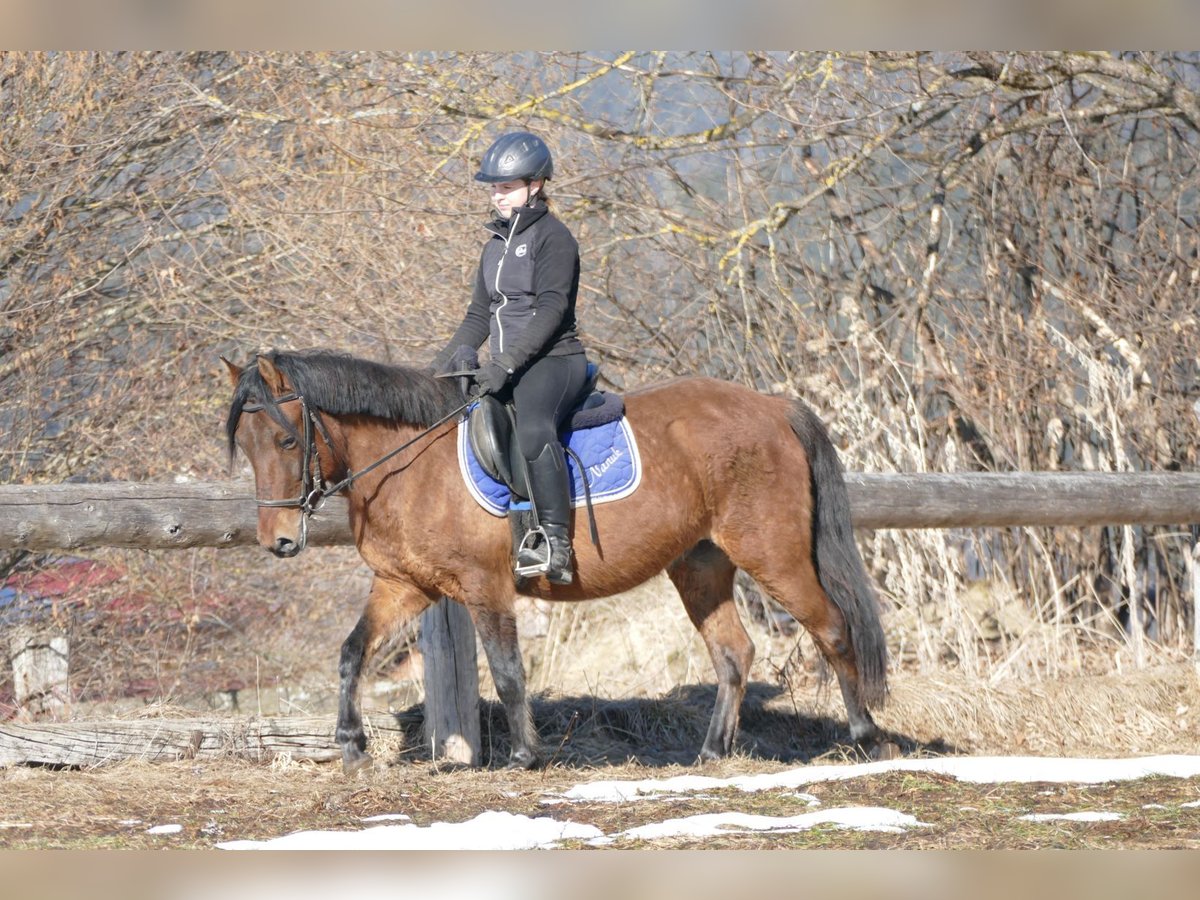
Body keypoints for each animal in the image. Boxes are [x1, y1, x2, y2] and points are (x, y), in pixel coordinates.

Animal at [223, 352, 892, 777]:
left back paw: (865, 740)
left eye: (286, 440)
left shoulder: (484, 586)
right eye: (246, 447)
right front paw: (352, 749)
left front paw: (525, 756)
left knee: (833, 628)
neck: (411, 464)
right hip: (700, 567)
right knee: (734, 653)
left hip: (772, 553)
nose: (278, 542)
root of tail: (774, 407)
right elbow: (351, 653)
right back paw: (710, 755)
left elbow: (508, 672)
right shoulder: (403, 586)